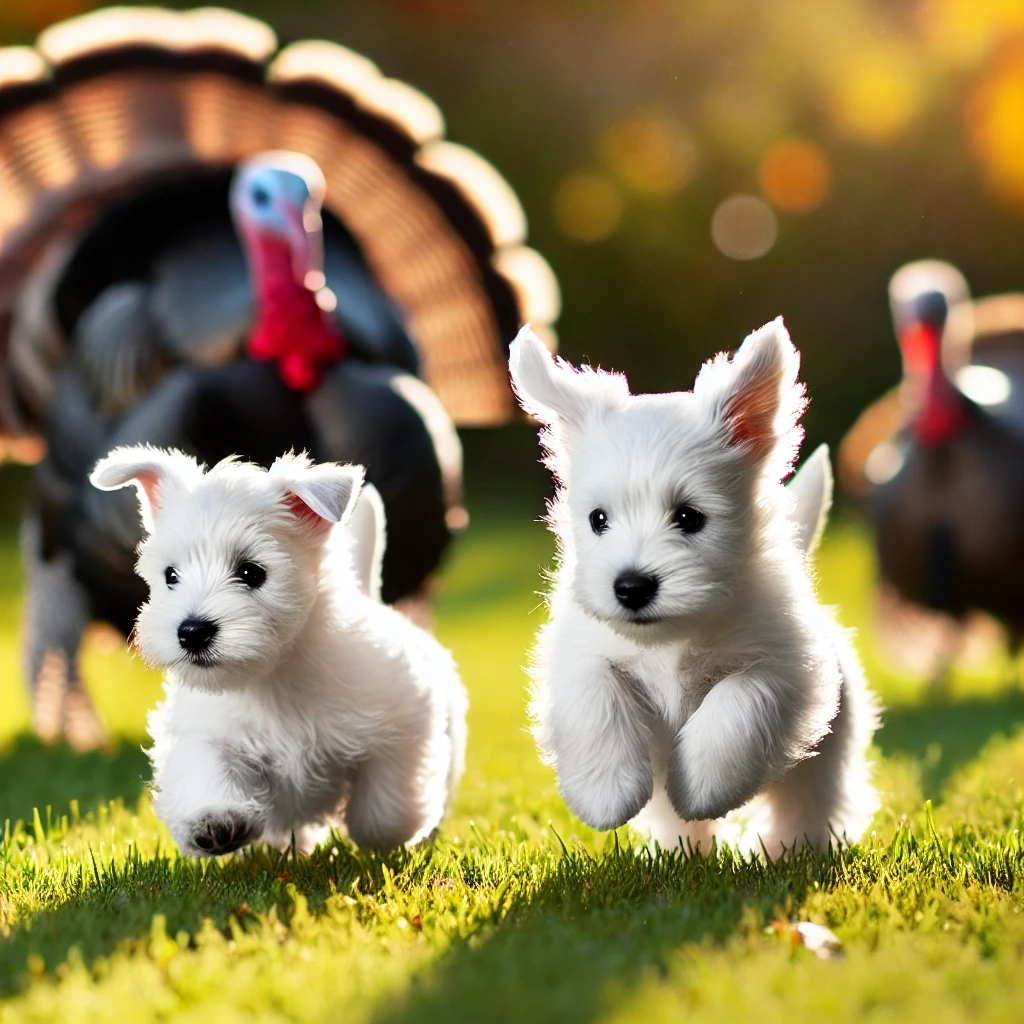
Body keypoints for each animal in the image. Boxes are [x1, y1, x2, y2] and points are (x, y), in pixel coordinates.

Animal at [92, 448, 468, 856]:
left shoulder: (404, 725)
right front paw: (214, 823)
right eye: (171, 575)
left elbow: (385, 811)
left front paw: (394, 834)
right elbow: (206, 768)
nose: (191, 632)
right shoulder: (208, 732)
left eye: (251, 572)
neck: (275, 675)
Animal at [512, 317, 880, 856]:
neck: (673, 638)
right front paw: (605, 793)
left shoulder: (785, 668)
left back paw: (788, 852)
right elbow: (595, 695)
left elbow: (739, 701)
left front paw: (704, 785)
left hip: (824, 760)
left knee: (810, 803)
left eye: (689, 517)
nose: (631, 587)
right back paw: (679, 854)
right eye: (598, 519)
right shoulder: (580, 655)